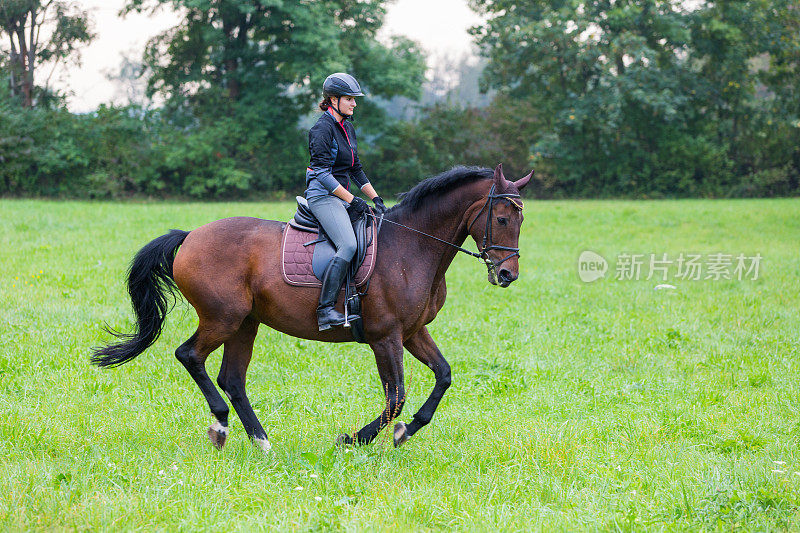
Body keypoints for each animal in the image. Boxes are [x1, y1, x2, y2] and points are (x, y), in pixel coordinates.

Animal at [90, 164, 532, 450]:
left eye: (520, 220)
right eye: (503, 218)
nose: (507, 274)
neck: (412, 246)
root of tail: (190, 235)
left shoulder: (412, 332)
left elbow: (442, 376)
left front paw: (405, 432)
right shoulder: (385, 337)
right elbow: (397, 397)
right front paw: (354, 439)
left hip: (245, 323)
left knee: (232, 378)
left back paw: (260, 440)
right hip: (223, 318)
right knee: (190, 356)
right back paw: (220, 426)